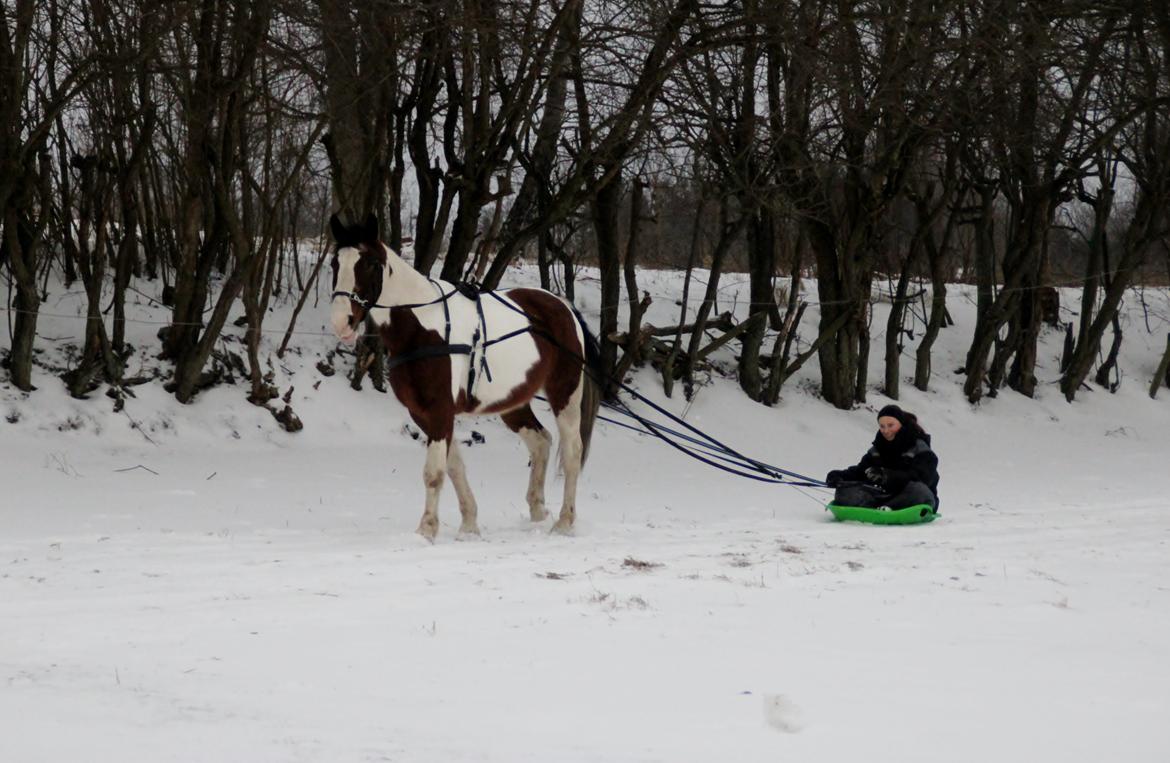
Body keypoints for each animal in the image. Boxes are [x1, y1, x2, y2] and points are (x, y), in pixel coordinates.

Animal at [329, 211, 603, 538]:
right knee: (541, 443)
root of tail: (565, 308)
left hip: (565, 395)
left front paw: (427, 530)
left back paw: (564, 522)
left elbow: (434, 473)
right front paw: (469, 524)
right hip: (513, 402)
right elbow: (454, 466)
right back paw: (537, 512)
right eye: (335, 263)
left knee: (573, 452)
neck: (422, 328)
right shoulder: (423, 413)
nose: (341, 322)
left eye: (370, 263)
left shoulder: (439, 410)